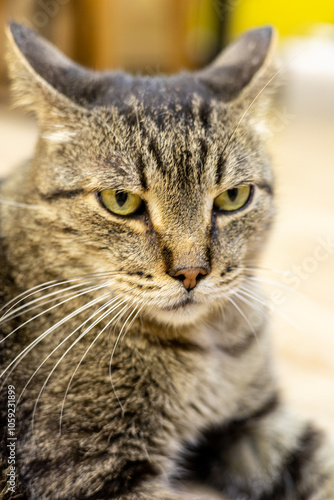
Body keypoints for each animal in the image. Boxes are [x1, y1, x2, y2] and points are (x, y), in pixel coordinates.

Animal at [0, 21, 334, 498]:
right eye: (120, 201)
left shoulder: (254, 419)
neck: (209, 348)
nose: (191, 272)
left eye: (234, 197)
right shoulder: (86, 468)